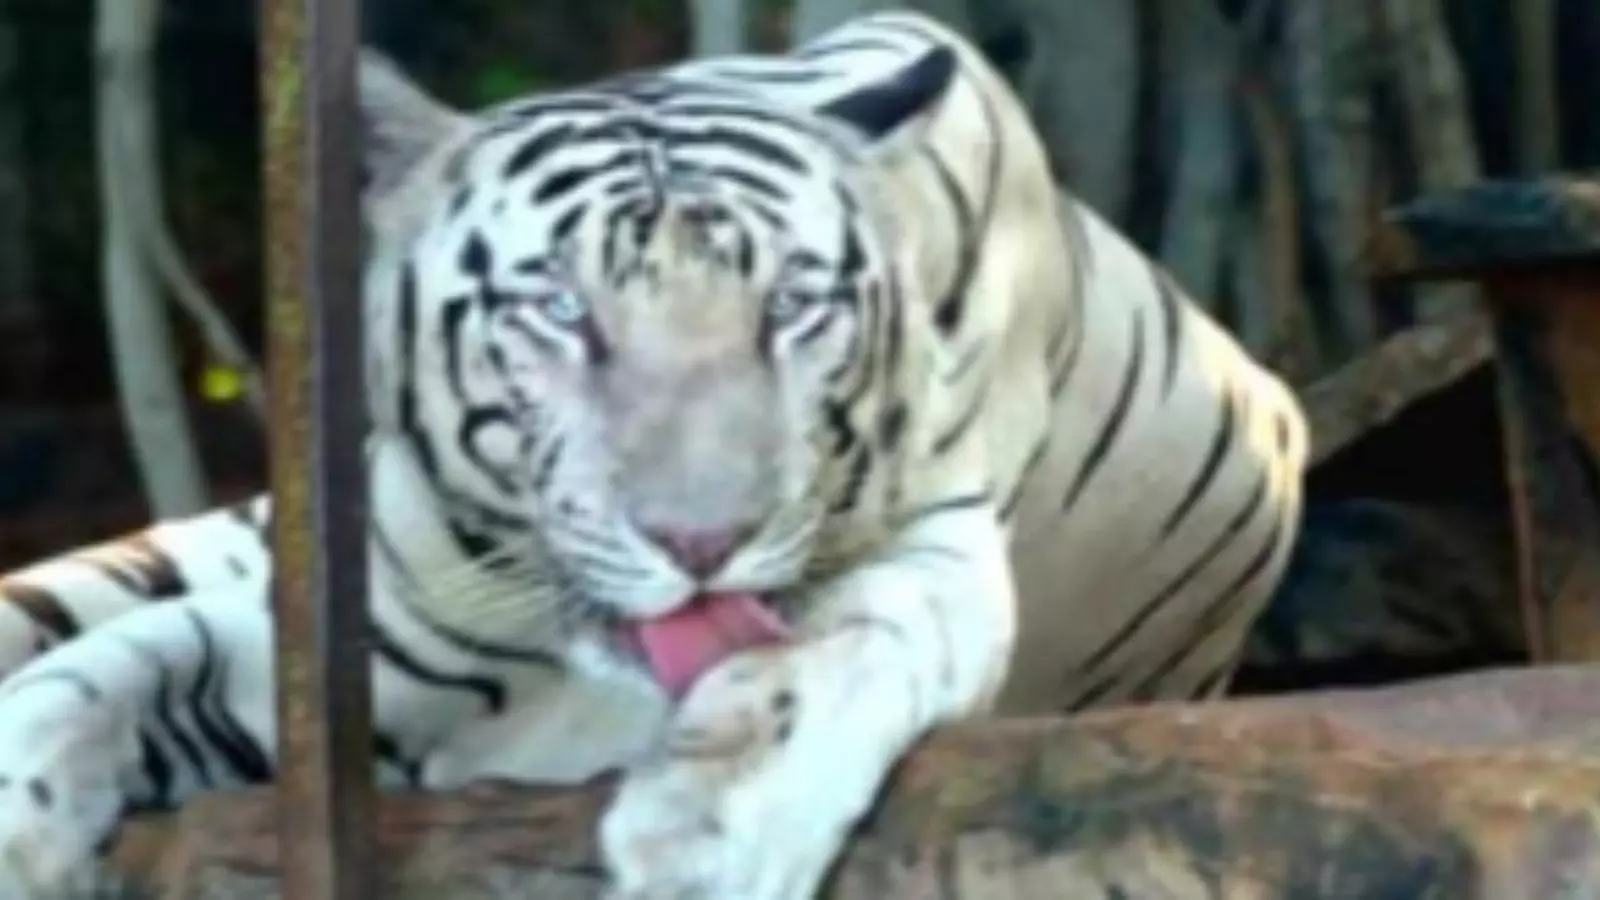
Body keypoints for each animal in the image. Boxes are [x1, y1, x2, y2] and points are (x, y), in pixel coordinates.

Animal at [0, 10, 1308, 899]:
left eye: (791, 306)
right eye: (560, 309)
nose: (701, 542)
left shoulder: (939, 557)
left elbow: (835, 640)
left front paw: (704, 832)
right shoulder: (358, 628)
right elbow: (106, 674)